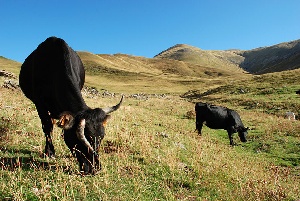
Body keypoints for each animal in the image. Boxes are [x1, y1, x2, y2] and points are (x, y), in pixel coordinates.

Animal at [18, 36, 122, 174]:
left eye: (100, 138)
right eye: (77, 140)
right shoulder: (40, 104)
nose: (95, 169)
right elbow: (47, 127)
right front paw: (49, 152)